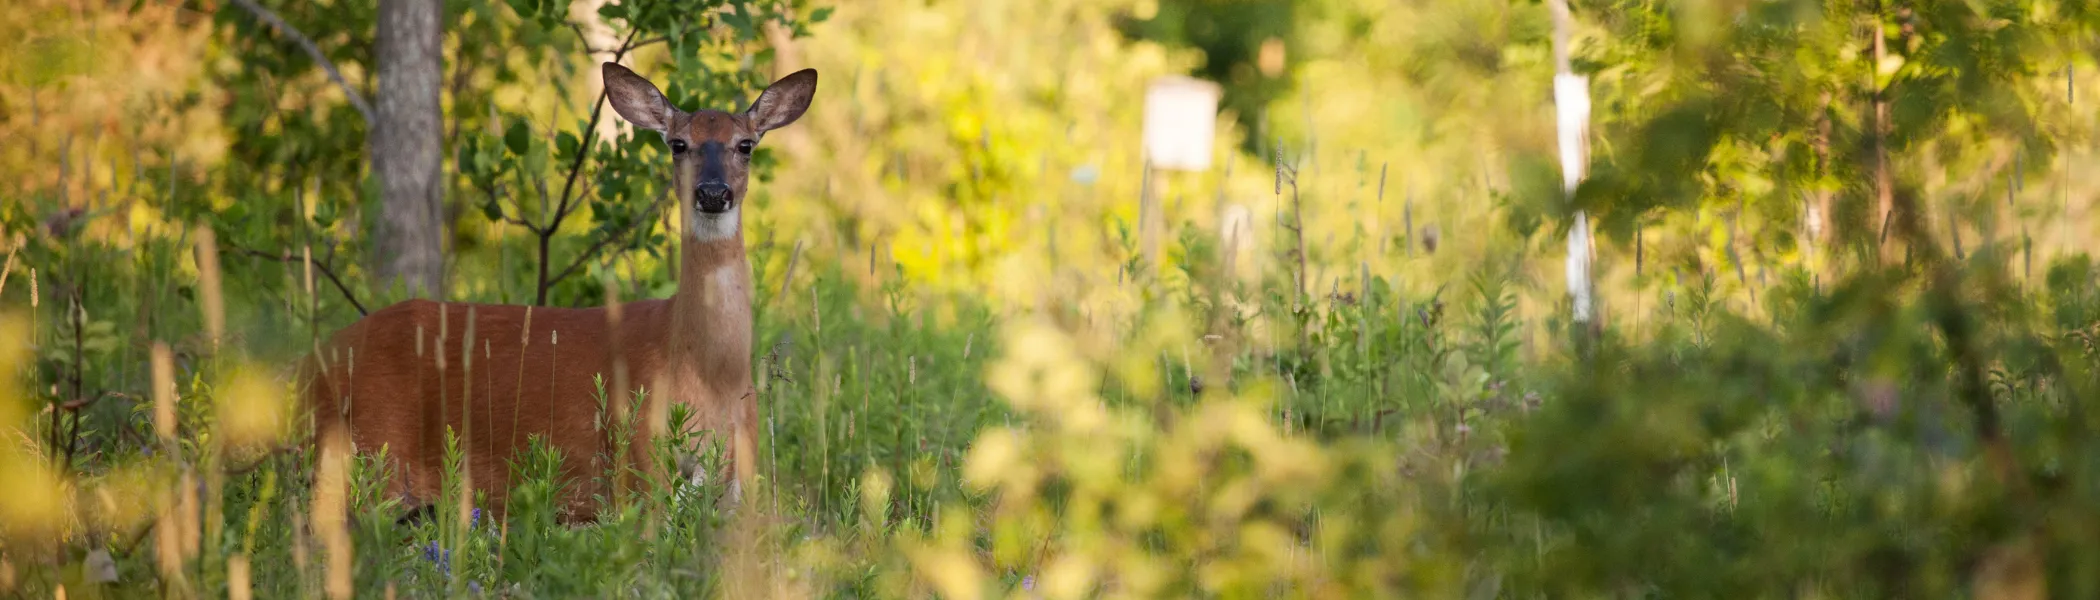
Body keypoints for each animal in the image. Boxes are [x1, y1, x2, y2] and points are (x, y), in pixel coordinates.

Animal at [302, 63, 816, 522]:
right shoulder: (635, 463)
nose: (712, 193)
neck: (707, 374)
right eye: (678, 144)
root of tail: (304, 368)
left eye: (745, 144)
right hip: (367, 457)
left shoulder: (738, 481)